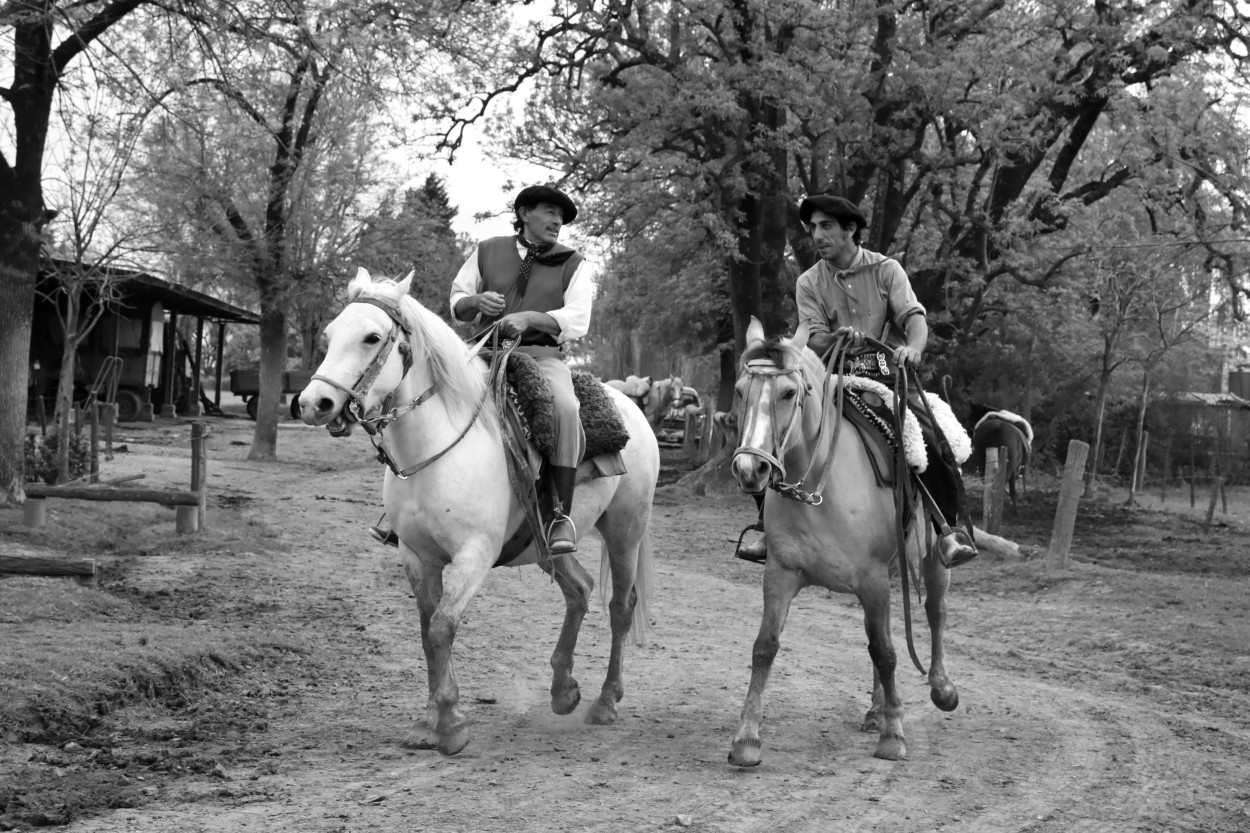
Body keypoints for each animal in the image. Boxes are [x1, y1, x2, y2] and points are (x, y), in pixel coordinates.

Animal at [298, 271, 665, 750]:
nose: (313, 404)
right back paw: (563, 690)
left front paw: (450, 725)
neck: (439, 444)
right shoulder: (416, 557)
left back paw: (605, 703)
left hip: (625, 530)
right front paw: (428, 723)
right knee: (580, 590)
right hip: (545, 544)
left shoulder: (473, 556)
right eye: (329, 335)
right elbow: (427, 633)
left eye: (371, 337)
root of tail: (631, 409)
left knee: (620, 606)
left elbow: (442, 627)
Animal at [725, 316, 955, 760]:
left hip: (932, 558)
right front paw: (746, 737)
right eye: (741, 390)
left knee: (934, 612)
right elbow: (765, 645)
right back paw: (876, 710)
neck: (821, 486)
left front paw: (894, 735)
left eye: (789, 392)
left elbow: (884, 651)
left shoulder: (872, 578)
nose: (750, 469)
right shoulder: (781, 573)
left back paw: (941, 689)